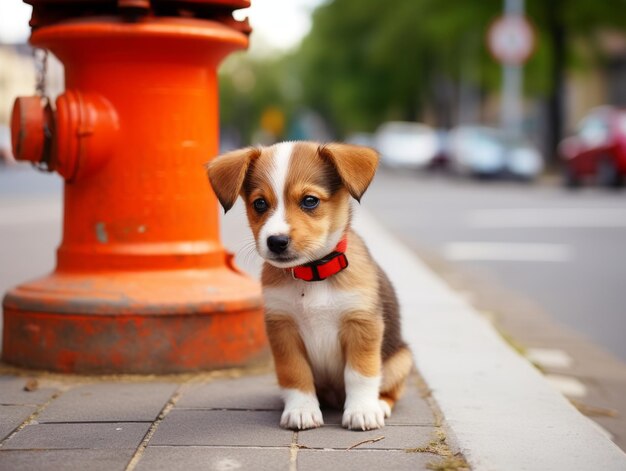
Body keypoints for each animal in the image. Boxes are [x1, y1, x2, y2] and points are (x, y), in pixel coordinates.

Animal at [207, 141, 412, 432]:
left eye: (310, 201)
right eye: (259, 203)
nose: (276, 241)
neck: (313, 274)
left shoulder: (362, 325)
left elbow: (360, 373)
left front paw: (362, 410)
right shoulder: (282, 329)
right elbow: (295, 372)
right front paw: (302, 410)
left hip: (402, 359)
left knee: (391, 388)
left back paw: (379, 404)